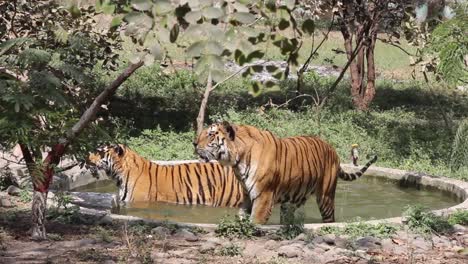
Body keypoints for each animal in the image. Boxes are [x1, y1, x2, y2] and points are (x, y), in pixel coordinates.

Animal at [194, 121, 376, 223]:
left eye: (210, 134)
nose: (194, 143)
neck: (238, 161)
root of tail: (332, 149)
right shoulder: (246, 196)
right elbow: (241, 217)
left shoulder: (264, 198)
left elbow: (254, 222)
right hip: (291, 200)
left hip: (326, 196)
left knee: (330, 218)